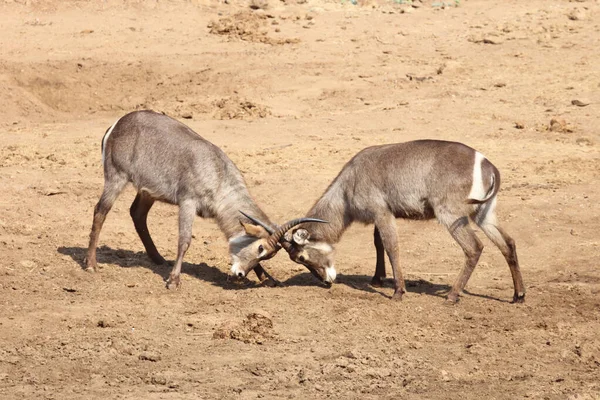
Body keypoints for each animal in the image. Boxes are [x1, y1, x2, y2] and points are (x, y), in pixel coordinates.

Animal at [83, 111, 324, 290]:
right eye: (260, 248)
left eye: (266, 255)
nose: (239, 274)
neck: (218, 173)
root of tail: (118, 124)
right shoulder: (187, 203)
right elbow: (184, 240)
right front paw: (174, 281)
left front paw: (267, 278)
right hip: (116, 177)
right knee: (100, 211)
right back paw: (91, 264)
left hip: (147, 191)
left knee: (137, 214)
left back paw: (158, 258)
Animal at [244, 140, 524, 304]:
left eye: (300, 257)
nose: (326, 282)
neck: (350, 181)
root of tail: (488, 165)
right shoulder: (379, 216)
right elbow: (378, 244)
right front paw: (377, 279)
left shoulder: (382, 212)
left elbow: (391, 247)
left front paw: (398, 291)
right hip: (484, 214)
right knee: (508, 243)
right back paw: (518, 295)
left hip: (451, 215)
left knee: (474, 248)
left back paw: (452, 296)